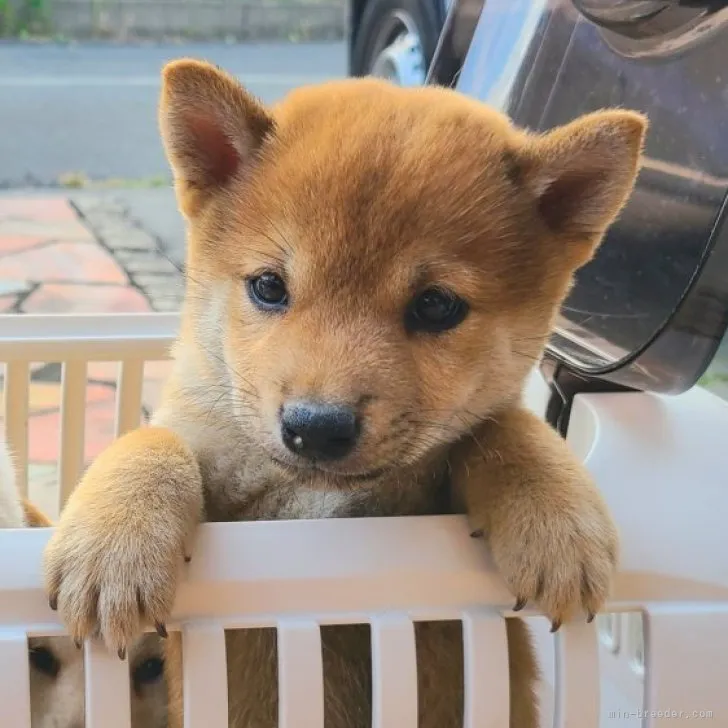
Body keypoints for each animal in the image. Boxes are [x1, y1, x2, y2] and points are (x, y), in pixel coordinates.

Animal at [42, 64, 644, 728]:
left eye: (437, 305)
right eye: (269, 286)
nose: (316, 426)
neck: (312, 502)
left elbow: (504, 429)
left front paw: (557, 521)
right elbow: (153, 439)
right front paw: (113, 546)